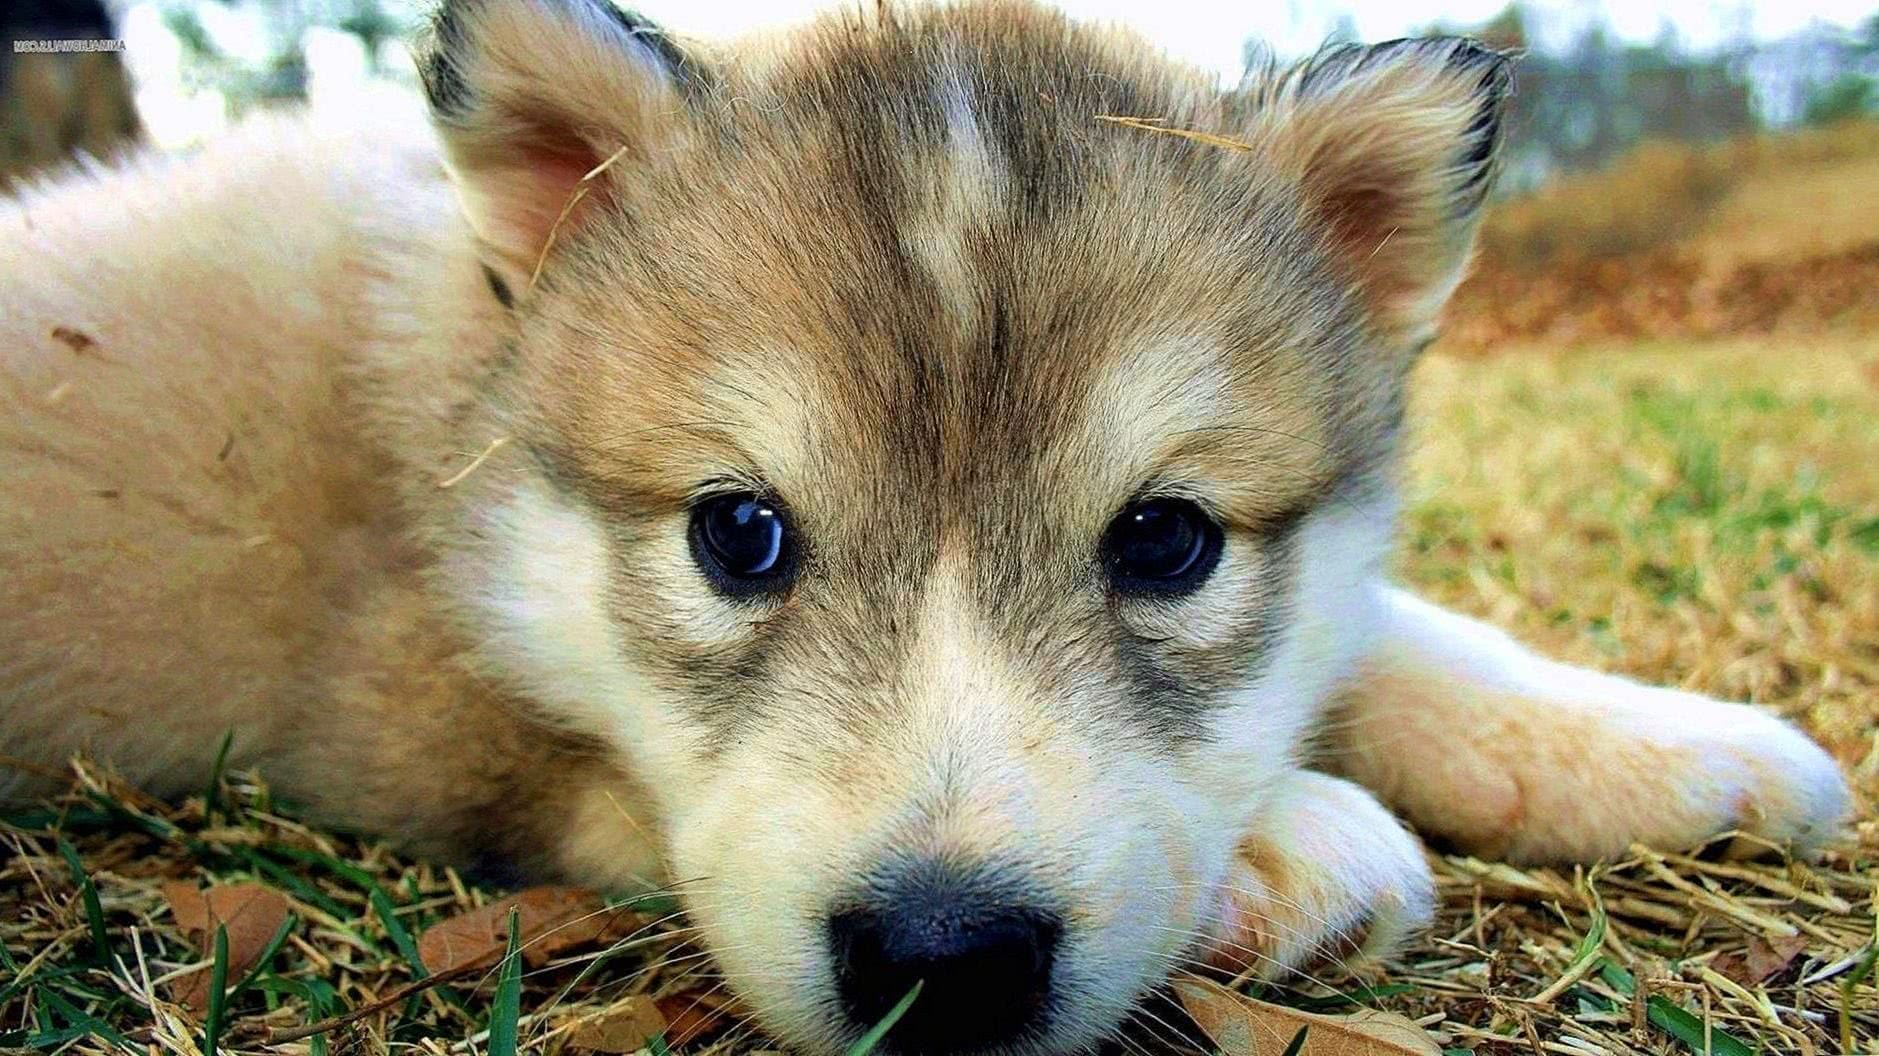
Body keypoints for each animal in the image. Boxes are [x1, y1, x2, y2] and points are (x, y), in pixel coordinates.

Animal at [0, 1, 1849, 1053]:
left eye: (1165, 543)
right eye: (737, 536)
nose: (944, 957)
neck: (469, 366)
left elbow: (1386, 628)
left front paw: (1654, 739)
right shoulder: (401, 698)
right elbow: (610, 782)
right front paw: (1275, 839)